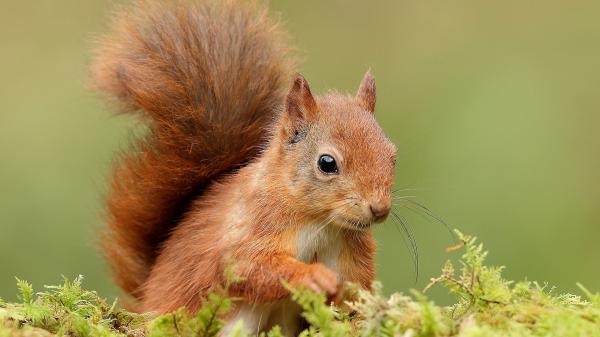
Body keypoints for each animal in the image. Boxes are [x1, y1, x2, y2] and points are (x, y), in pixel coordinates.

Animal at [91, 0, 396, 334]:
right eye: (327, 163)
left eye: (392, 155)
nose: (379, 209)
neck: (321, 223)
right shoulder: (249, 226)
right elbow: (248, 266)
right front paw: (312, 276)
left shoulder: (351, 255)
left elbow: (355, 294)